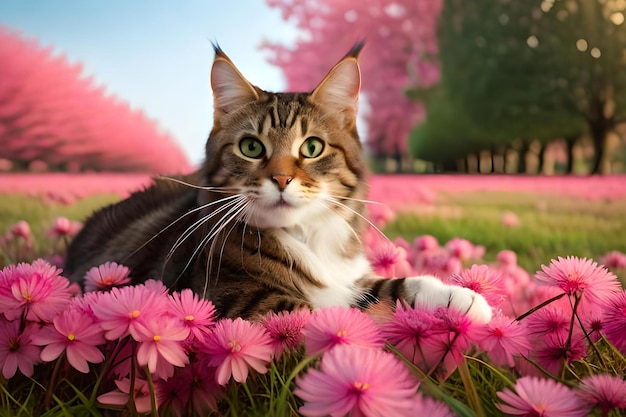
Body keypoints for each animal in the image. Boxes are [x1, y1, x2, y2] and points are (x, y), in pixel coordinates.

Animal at [63, 43, 492, 322]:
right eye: (252, 147)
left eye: (312, 147)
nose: (282, 178)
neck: (306, 237)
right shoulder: (237, 304)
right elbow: (342, 312)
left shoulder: (350, 274)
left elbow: (387, 286)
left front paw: (459, 297)